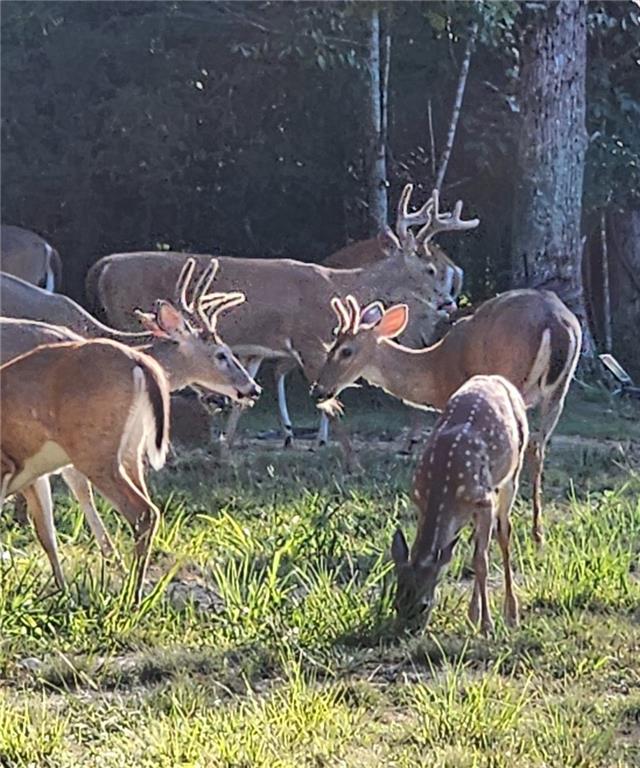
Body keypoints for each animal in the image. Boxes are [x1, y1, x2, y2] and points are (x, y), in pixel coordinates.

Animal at [312, 290, 584, 544]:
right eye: (331, 344)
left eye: (346, 351)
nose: (317, 390)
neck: (433, 372)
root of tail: (554, 320)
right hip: (558, 391)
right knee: (537, 447)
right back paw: (538, 534)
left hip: (512, 376)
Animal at [392, 370, 528, 632]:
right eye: (396, 602)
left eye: (423, 605)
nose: (407, 631)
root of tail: (499, 379)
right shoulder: (420, 501)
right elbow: (464, 554)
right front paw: (476, 618)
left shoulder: (484, 500)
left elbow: (481, 561)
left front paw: (487, 625)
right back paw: (473, 615)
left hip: (512, 474)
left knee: (504, 533)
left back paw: (511, 614)